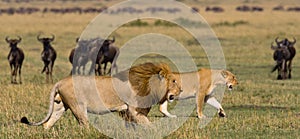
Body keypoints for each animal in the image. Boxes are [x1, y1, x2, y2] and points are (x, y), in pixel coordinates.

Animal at [21, 62, 182, 129]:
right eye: (174, 81)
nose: (180, 90)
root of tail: (59, 82)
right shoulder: (133, 110)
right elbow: (150, 125)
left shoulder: (126, 112)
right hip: (78, 106)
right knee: (84, 125)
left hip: (60, 106)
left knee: (47, 123)